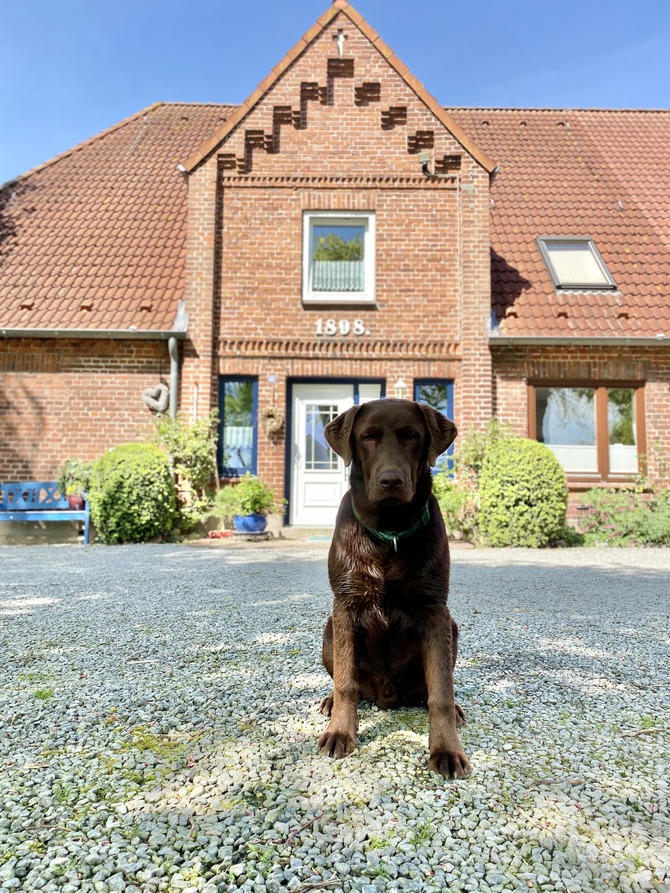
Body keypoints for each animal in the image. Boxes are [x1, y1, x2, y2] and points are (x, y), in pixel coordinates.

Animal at [320, 400, 472, 776]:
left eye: (412, 437)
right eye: (368, 437)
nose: (391, 480)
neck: (389, 532)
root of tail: (387, 696)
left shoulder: (435, 610)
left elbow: (441, 692)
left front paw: (446, 749)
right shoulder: (345, 605)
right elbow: (345, 682)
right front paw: (340, 732)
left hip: (452, 629)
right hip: (329, 630)